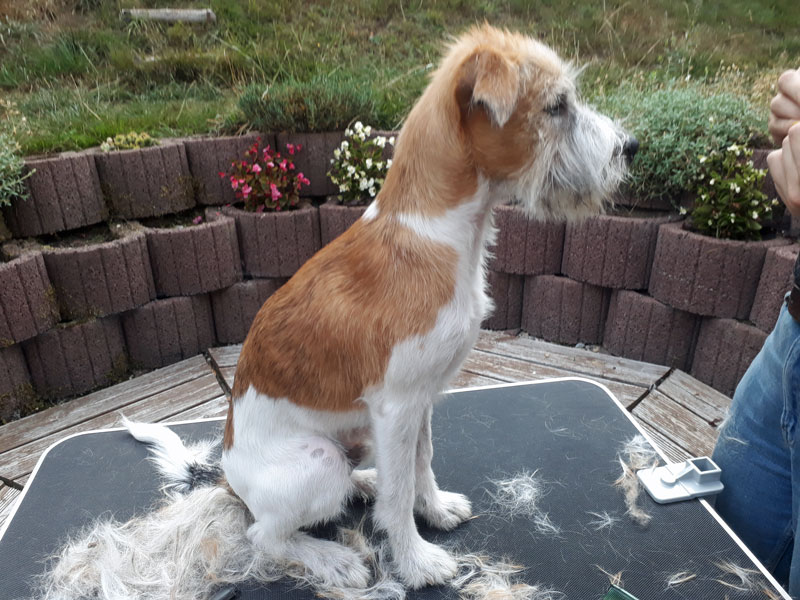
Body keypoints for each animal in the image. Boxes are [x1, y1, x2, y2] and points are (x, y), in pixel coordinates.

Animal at [127, 24, 635, 592]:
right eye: (557, 106)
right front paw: (416, 562)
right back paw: (332, 557)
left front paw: (433, 509)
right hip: (319, 460)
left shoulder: (422, 401)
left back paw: (364, 482)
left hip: (357, 439)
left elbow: (421, 463)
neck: (432, 233)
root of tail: (229, 479)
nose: (630, 148)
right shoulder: (397, 407)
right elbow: (399, 496)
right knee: (267, 535)